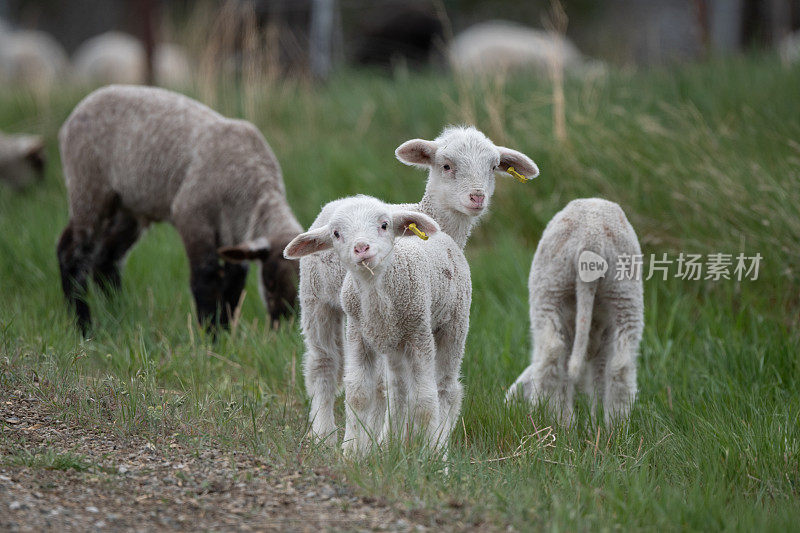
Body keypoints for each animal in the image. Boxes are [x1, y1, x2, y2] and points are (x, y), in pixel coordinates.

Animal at [56, 83, 300, 332]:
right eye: (270, 282)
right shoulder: (191, 214)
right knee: (71, 252)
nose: (283, 325)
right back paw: (83, 325)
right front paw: (211, 334)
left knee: (107, 259)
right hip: (88, 187)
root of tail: (75, 114)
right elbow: (205, 276)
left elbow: (233, 285)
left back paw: (117, 311)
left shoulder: (236, 233)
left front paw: (225, 330)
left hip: (128, 207)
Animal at [284, 197, 472, 456]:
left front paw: (428, 456)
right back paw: (391, 443)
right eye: (336, 234)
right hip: (386, 340)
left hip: (454, 324)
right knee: (394, 387)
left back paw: (437, 447)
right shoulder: (359, 335)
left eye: (384, 225)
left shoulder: (419, 333)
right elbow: (358, 394)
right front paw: (351, 451)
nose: (361, 248)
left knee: (445, 388)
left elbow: (425, 398)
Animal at [298, 125, 536, 440]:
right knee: (323, 364)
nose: (477, 198)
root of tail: (342, 200)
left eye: (493, 167)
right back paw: (323, 434)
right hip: (316, 298)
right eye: (446, 166)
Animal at [506, 197, 644, 426]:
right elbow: (599, 377)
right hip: (624, 292)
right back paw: (615, 425)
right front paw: (595, 421)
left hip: (551, 287)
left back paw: (550, 418)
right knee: (621, 364)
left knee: (551, 353)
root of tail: (591, 237)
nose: (508, 403)